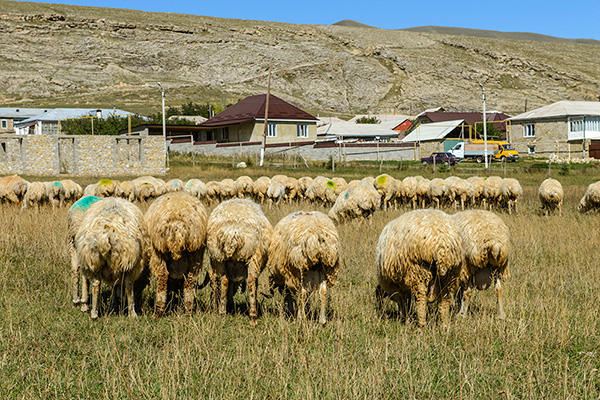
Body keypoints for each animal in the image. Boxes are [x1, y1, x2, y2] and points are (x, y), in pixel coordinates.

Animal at [206, 198, 272, 326]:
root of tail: (231, 233)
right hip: (253, 257)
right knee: (251, 281)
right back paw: (253, 317)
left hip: (218, 258)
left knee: (225, 280)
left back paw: (222, 313)